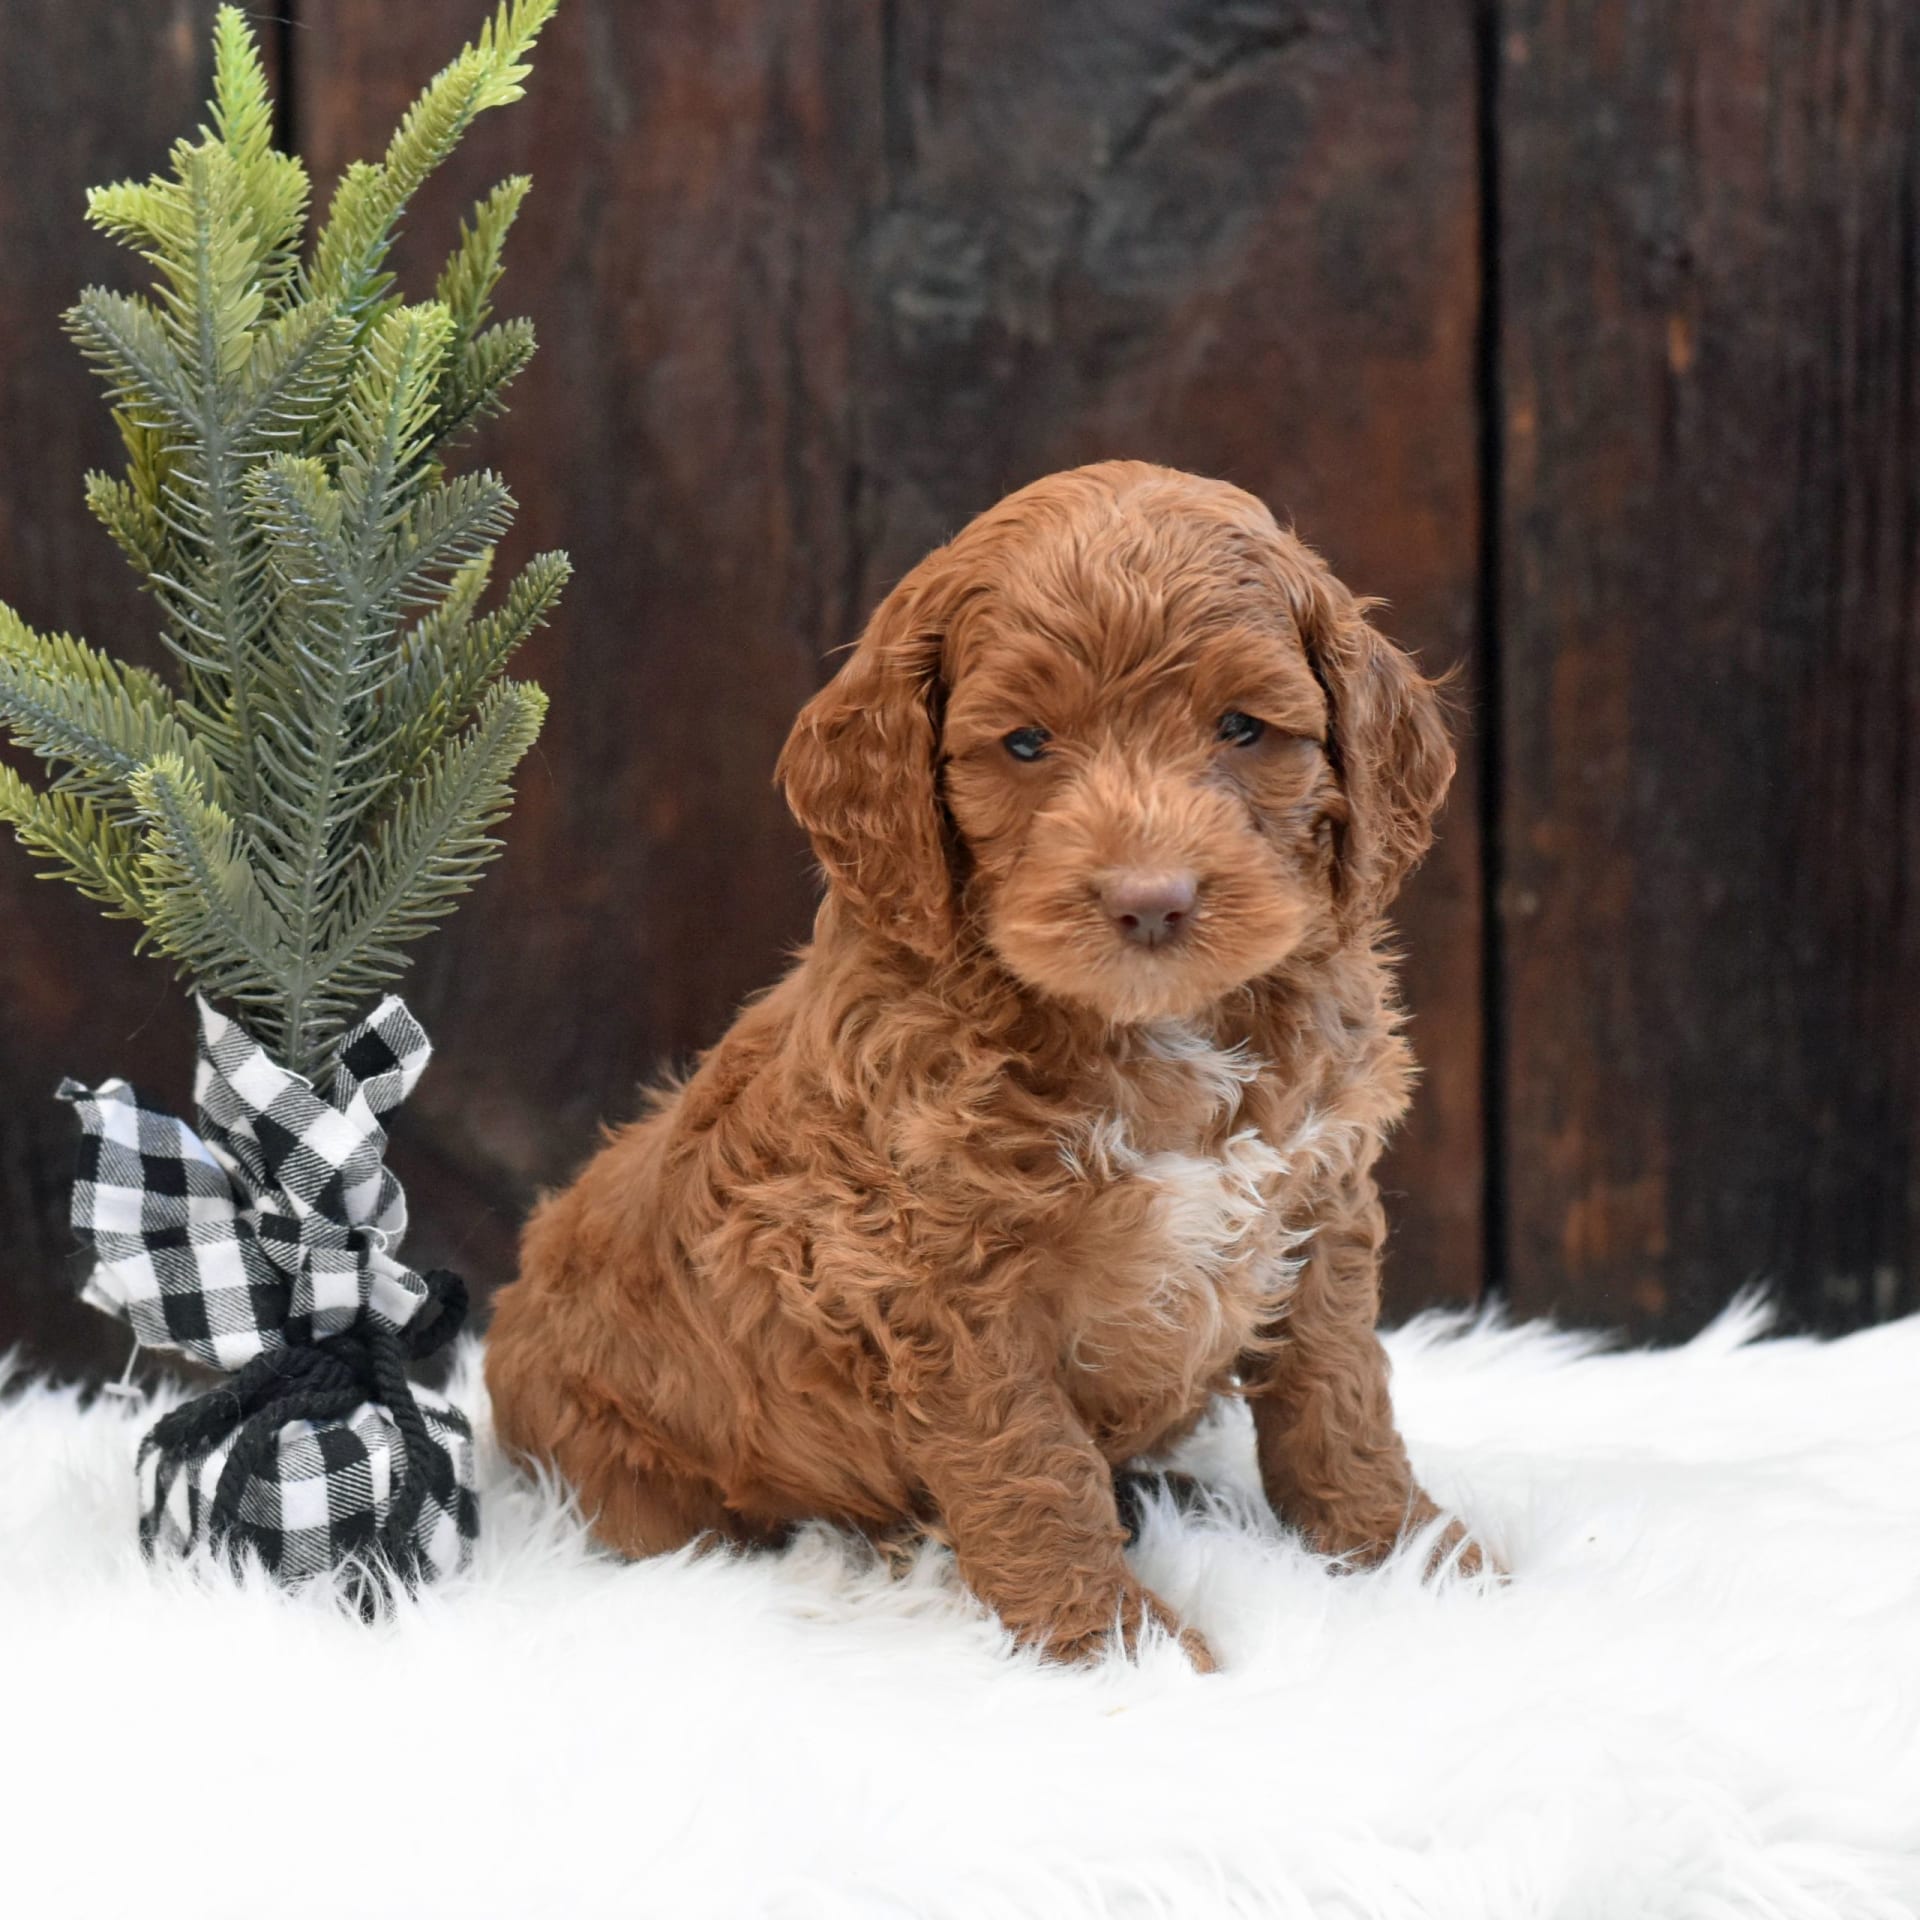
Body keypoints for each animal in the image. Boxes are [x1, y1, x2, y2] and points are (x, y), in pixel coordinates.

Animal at [491, 453, 1482, 1666]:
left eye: (1244, 728)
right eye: (1024, 745)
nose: (1151, 901)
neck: (1154, 1032)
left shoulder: (1319, 1202)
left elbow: (1338, 1400)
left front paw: (1416, 1561)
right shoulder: (936, 1276)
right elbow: (1033, 1466)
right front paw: (1116, 1645)